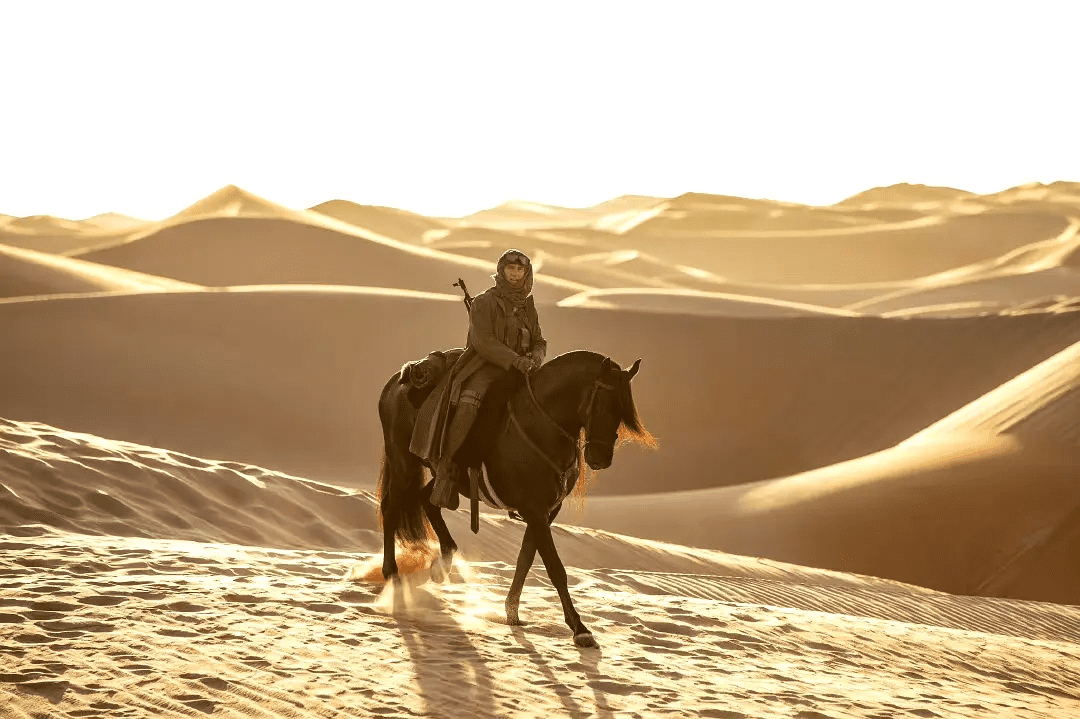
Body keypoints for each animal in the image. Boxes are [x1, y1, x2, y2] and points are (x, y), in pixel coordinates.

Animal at [375, 347, 652, 643]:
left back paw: (443, 563)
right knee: (391, 510)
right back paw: (393, 576)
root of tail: (397, 380)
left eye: (622, 410)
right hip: (403, 462)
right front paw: (579, 628)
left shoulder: (545, 511)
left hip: (446, 477)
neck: (541, 423)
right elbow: (555, 567)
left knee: (427, 500)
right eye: (602, 404)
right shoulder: (534, 510)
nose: (601, 459)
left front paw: (512, 612)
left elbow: (525, 559)